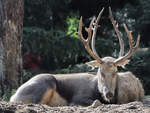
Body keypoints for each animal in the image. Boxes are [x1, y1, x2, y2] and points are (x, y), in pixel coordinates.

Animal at [9, 7, 148, 106]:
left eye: (115, 72)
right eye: (100, 72)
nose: (108, 93)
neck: (97, 90)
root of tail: (13, 96)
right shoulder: (78, 97)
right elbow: (92, 102)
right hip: (44, 83)